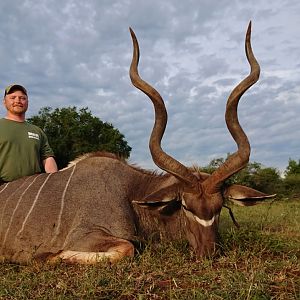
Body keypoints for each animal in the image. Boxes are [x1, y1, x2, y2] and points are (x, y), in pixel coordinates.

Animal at [0, 22, 274, 264]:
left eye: (220, 207)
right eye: (185, 206)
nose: (209, 253)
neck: (131, 192)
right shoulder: (85, 235)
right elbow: (128, 248)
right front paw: (46, 256)